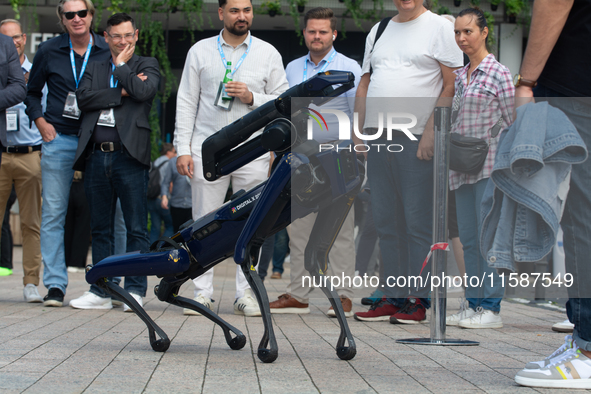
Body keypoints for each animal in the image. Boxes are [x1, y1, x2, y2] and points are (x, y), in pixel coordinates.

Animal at [85, 70, 364, 364]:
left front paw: (346, 343)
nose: (344, 76)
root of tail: (175, 239)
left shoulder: (334, 200)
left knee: (164, 291)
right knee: (115, 271)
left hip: (186, 266)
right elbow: (247, 263)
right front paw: (268, 347)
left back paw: (222, 334)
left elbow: (315, 262)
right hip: (179, 258)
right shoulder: (252, 233)